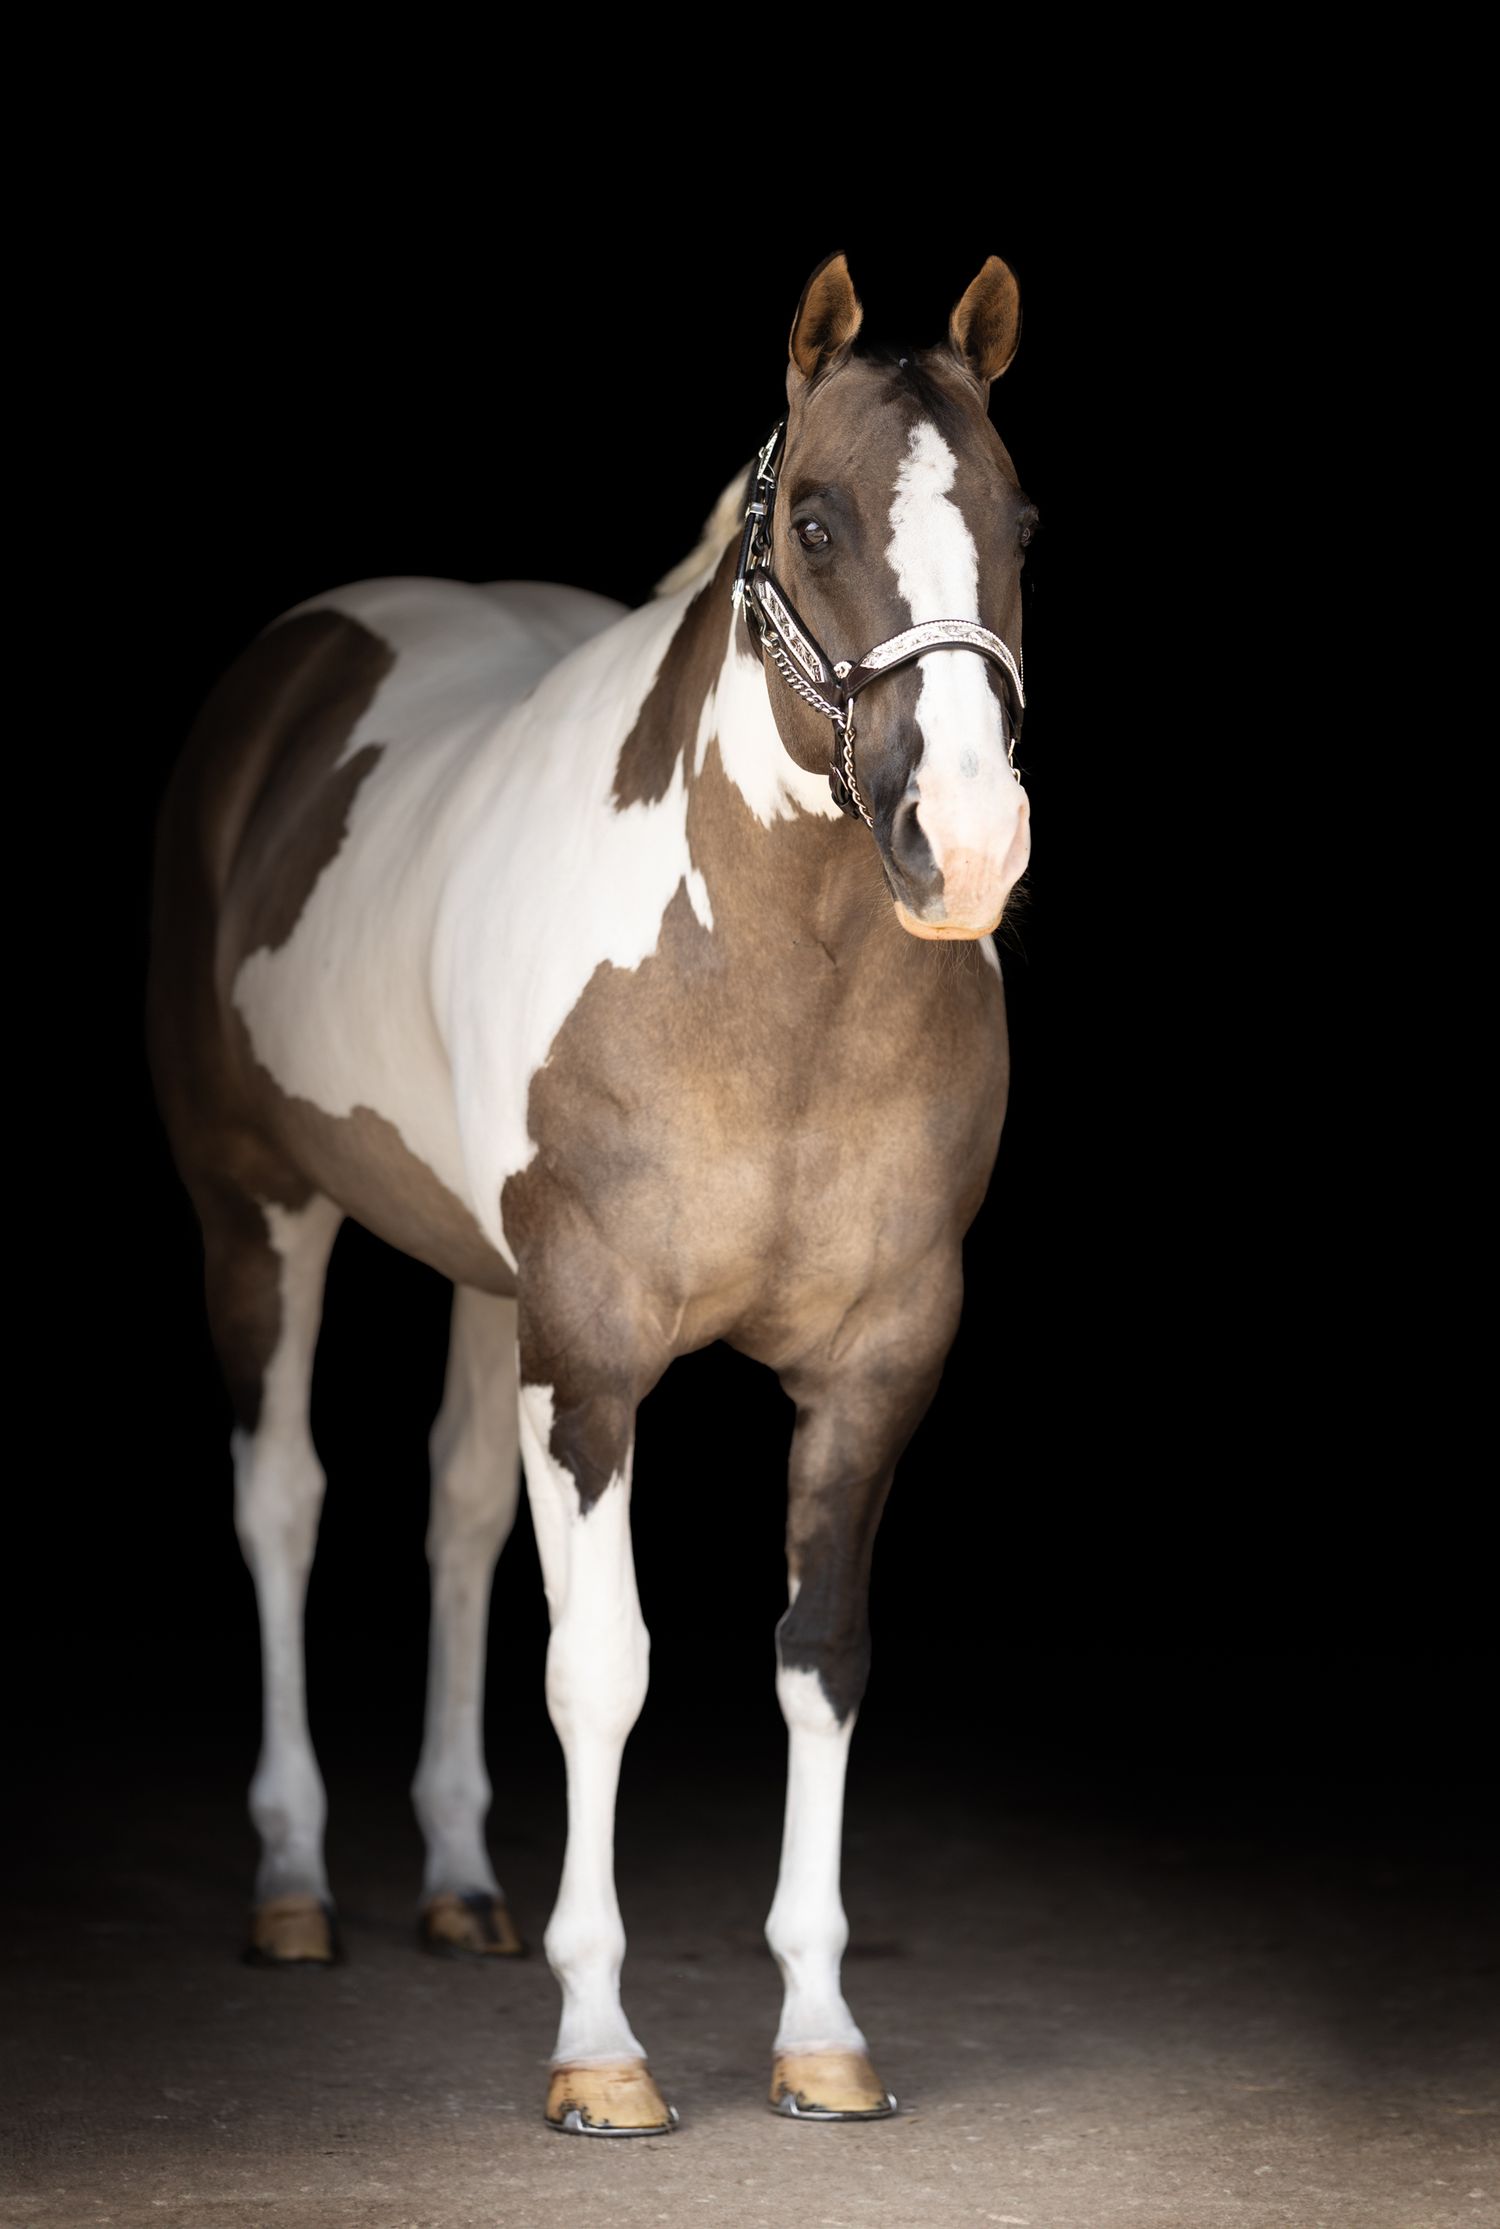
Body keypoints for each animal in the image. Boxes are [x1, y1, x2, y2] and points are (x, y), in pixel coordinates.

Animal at [147, 248, 1036, 2136]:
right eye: (822, 517)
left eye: (1023, 520)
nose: (969, 846)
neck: (766, 994)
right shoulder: (598, 1353)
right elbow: (601, 1664)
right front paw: (601, 2045)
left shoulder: (877, 1357)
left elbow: (820, 1650)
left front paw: (822, 2029)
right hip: (260, 1216)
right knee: (284, 1504)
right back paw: (293, 1885)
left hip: (492, 1288)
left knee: (460, 1517)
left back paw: (460, 1882)